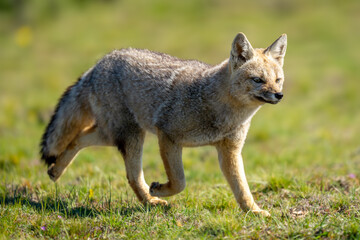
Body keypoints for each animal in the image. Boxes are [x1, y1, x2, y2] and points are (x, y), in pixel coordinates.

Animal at [39, 32, 286, 216]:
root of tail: (99, 64)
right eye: (258, 80)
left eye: (278, 80)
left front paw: (253, 211)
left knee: (79, 137)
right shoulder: (167, 136)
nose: (279, 95)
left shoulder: (230, 151)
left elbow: (242, 188)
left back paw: (56, 171)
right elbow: (180, 181)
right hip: (130, 137)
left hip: (113, 134)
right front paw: (160, 189)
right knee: (131, 175)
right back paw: (150, 201)